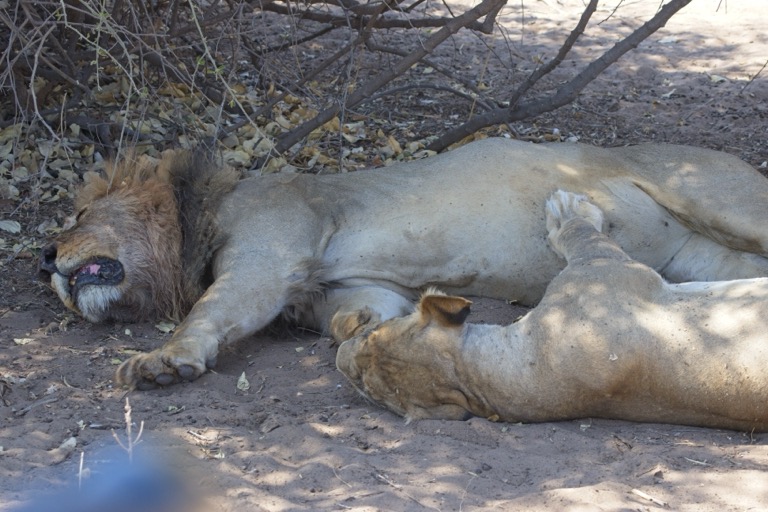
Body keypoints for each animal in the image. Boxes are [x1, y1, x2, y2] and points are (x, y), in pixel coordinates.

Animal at [38, 138, 768, 390]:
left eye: (79, 215)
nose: (43, 256)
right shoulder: (346, 284)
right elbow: (365, 314)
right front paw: (358, 332)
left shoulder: (267, 255)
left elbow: (210, 311)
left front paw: (164, 361)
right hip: (700, 256)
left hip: (715, 198)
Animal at [335, 191, 768, 432]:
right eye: (363, 386)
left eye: (371, 337)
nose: (340, 359)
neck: (481, 377)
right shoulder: (606, 270)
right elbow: (583, 236)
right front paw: (567, 209)